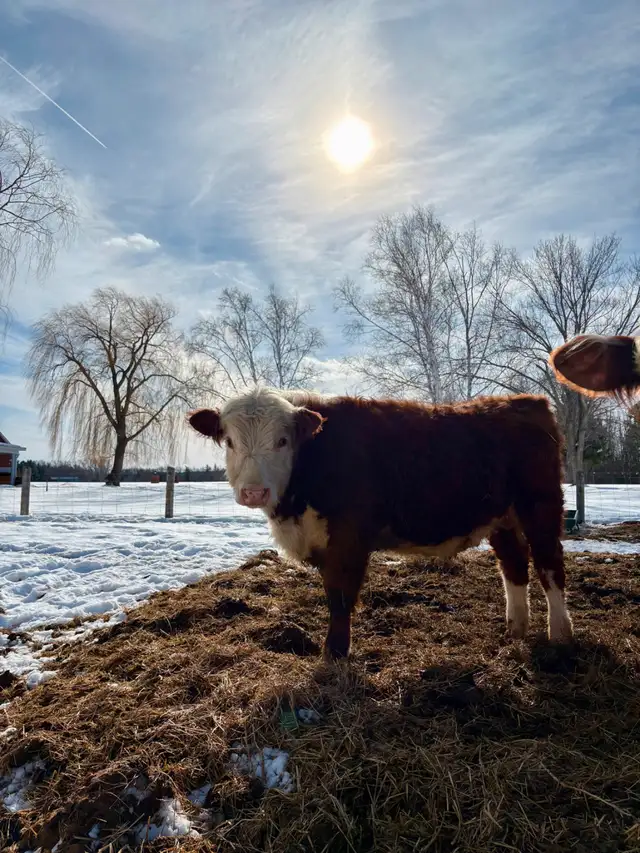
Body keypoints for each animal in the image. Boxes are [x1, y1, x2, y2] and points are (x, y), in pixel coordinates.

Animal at [188, 388, 572, 661]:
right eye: (229, 441)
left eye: (282, 441)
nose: (254, 491)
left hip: (540, 505)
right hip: (502, 518)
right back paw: (515, 630)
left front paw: (335, 654)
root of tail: (524, 401)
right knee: (514, 564)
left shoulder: (348, 539)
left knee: (549, 563)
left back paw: (560, 635)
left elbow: (340, 597)